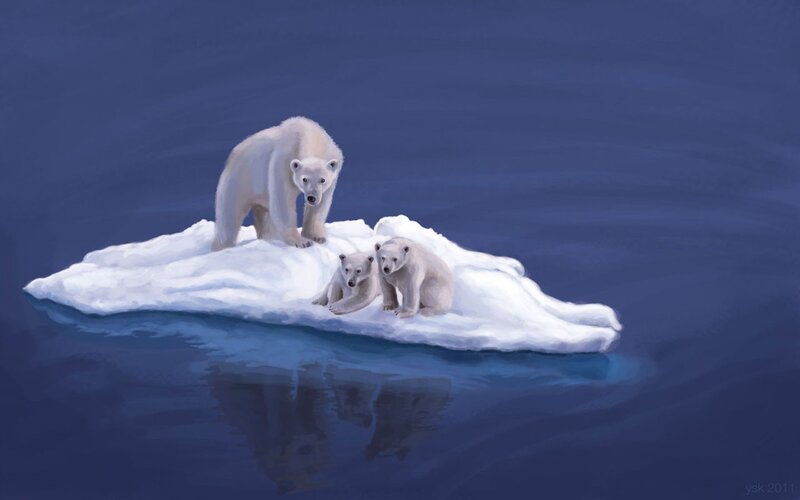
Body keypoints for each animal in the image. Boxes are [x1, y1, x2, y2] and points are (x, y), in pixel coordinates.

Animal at [211, 116, 343, 250]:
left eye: (323, 180)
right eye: (304, 179)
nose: (311, 197)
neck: (310, 135)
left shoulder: (334, 166)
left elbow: (321, 204)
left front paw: (317, 236)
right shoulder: (283, 162)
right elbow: (283, 201)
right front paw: (301, 242)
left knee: (263, 215)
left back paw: (268, 237)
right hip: (240, 180)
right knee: (229, 217)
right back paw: (221, 246)